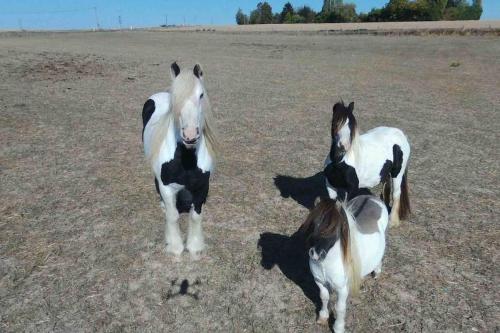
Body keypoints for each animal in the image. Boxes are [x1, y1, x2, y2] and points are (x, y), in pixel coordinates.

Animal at [142, 63, 218, 260]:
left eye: (201, 95)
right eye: (175, 98)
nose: (190, 135)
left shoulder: (202, 186)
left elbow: (196, 216)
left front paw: (195, 247)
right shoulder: (167, 187)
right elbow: (173, 216)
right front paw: (175, 246)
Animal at [300, 195, 390, 332]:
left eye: (334, 228)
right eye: (313, 225)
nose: (315, 254)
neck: (327, 263)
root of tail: (371, 197)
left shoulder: (342, 289)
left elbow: (340, 308)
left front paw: (338, 327)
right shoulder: (320, 282)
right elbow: (324, 297)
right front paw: (323, 317)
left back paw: (376, 273)